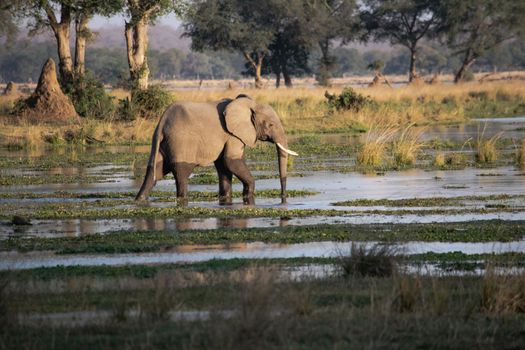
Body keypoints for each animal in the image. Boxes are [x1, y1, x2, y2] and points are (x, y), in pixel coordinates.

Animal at [134, 95, 298, 205]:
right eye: (270, 125)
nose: (283, 197)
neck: (248, 104)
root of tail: (162, 122)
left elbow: (223, 166)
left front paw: (226, 198)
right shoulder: (233, 134)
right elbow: (231, 161)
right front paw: (248, 196)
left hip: (163, 143)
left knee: (154, 171)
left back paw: (139, 200)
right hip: (180, 143)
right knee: (182, 174)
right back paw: (182, 199)